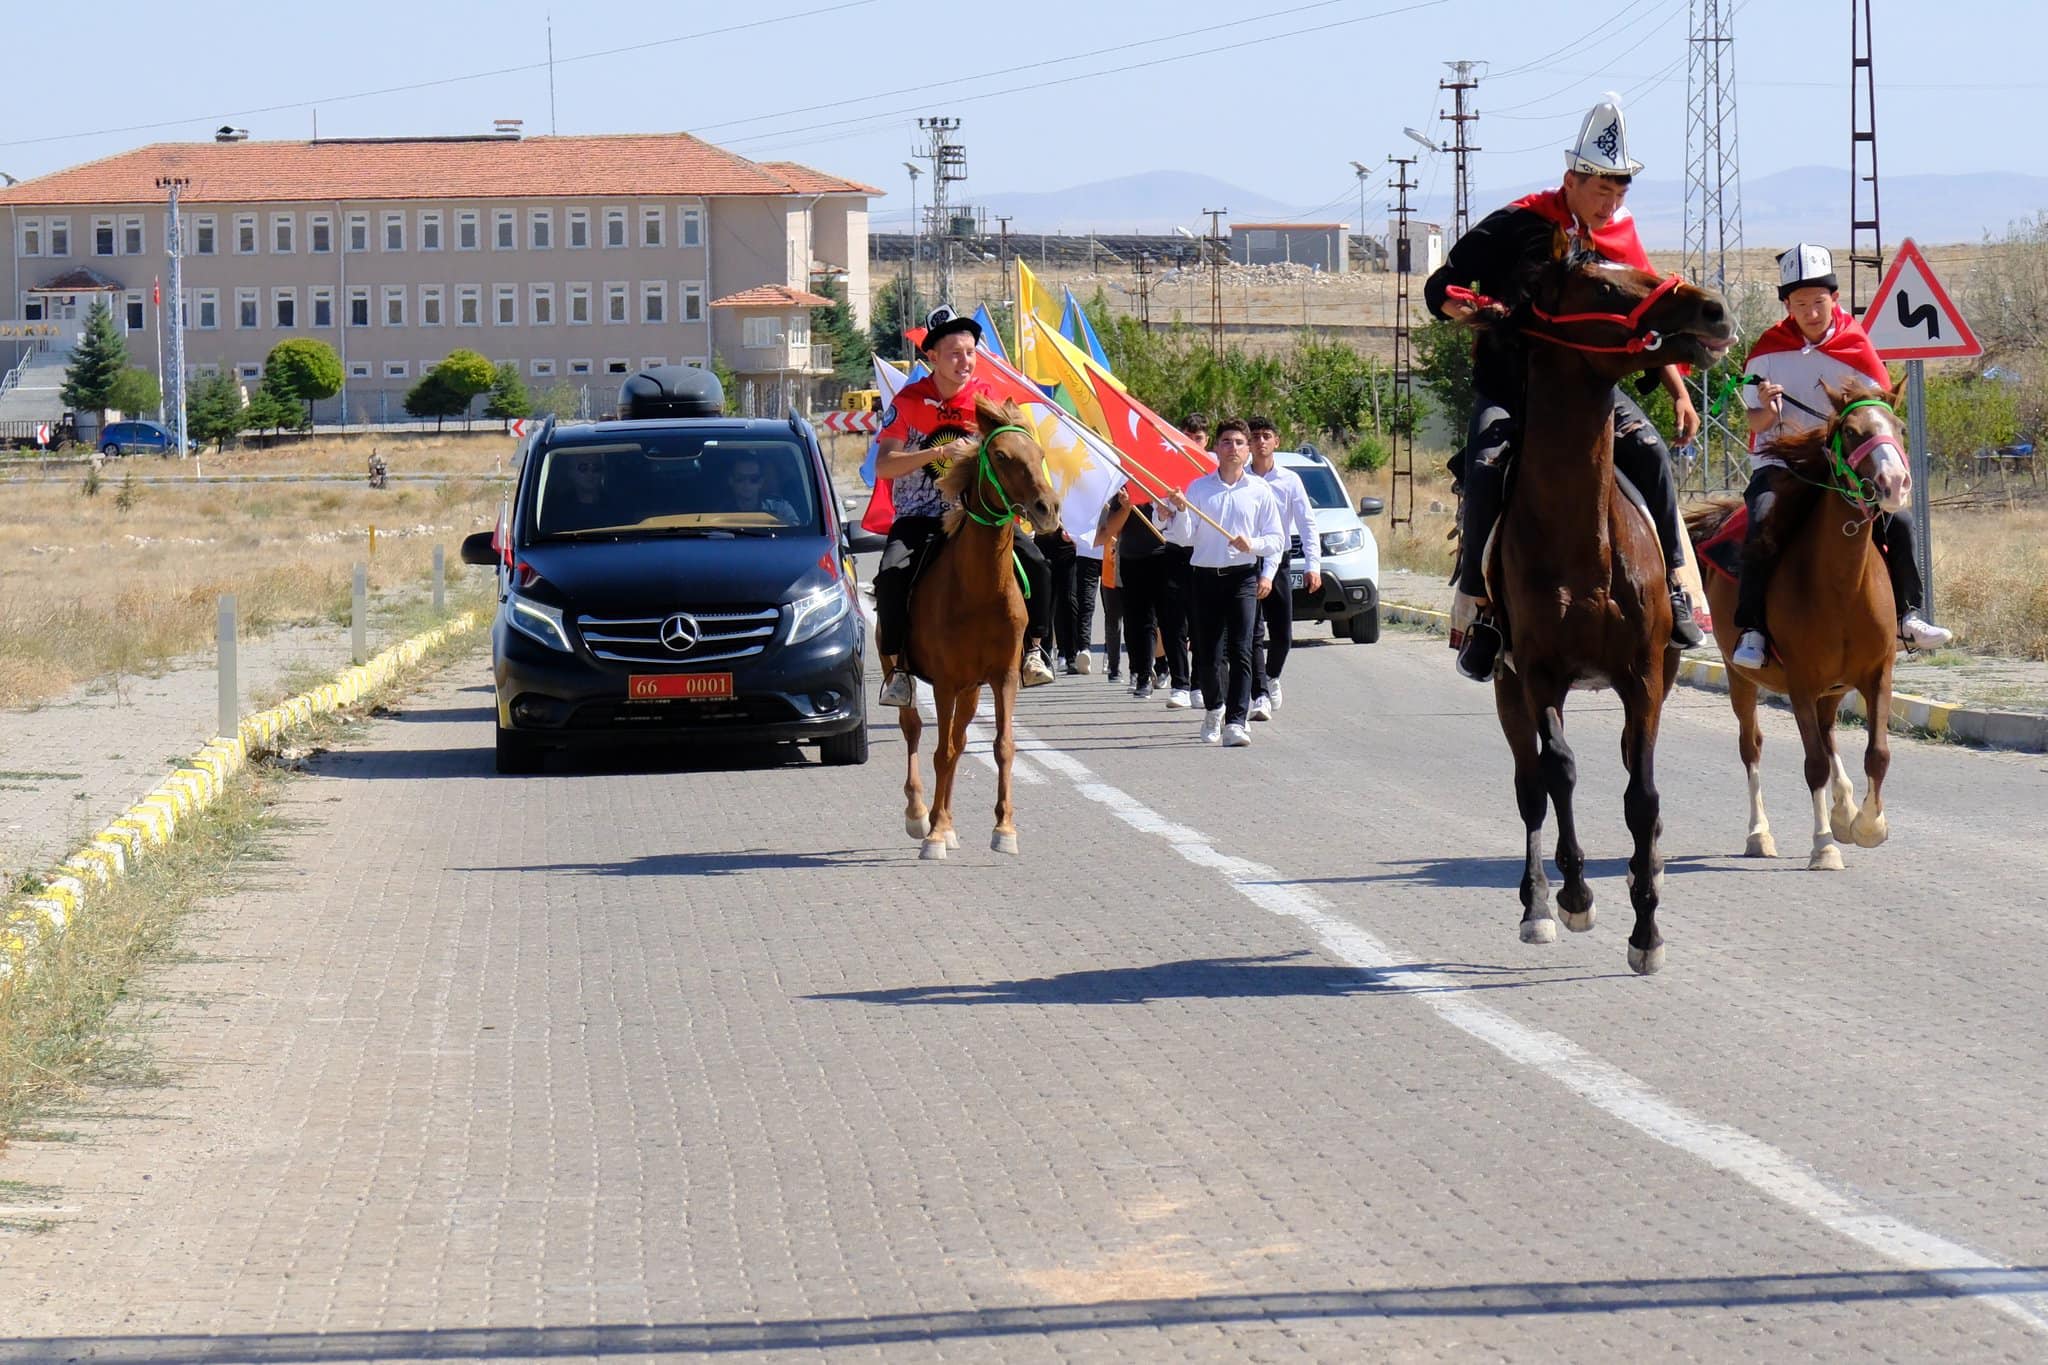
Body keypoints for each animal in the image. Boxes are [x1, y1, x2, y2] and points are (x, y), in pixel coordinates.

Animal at [892, 394, 1056, 859]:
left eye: (1040, 455)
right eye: (1000, 456)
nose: (1048, 509)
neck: (980, 590)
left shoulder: (1002, 677)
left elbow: (1001, 746)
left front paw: (1004, 829)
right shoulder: (945, 681)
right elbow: (940, 752)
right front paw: (932, 834)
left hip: (970, 689)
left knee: (961, 740)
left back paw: (945, 822)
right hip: (906, 672)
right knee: (914, 730)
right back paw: (921, 815)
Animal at [1474, 242, 1728, 970]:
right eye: (1607, 288)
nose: (1714, 308)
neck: (1581, 537)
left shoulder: (1643, 674)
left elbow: (1640, 794)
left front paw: (1647, 928)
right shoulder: (1537, 674)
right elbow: (1558, 771)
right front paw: (1575, 894)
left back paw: (1651, 865)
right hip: (1505, 687)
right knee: (1530, 786)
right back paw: (1537, 902)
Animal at [1687, 378, 1908, 871]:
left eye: (1900, 427)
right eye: (1851, 431)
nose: (1894, 483)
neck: (1844, 586)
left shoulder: (1876, 675)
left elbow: (1878, 754)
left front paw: (1869, 826)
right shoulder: (1802, 683)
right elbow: (1813, 766)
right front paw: (1824, 846)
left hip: (1833, 689)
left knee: (1828, 736)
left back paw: (1845, 811)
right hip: (1741, 679)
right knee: (1753, 746)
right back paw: (1760, 835)